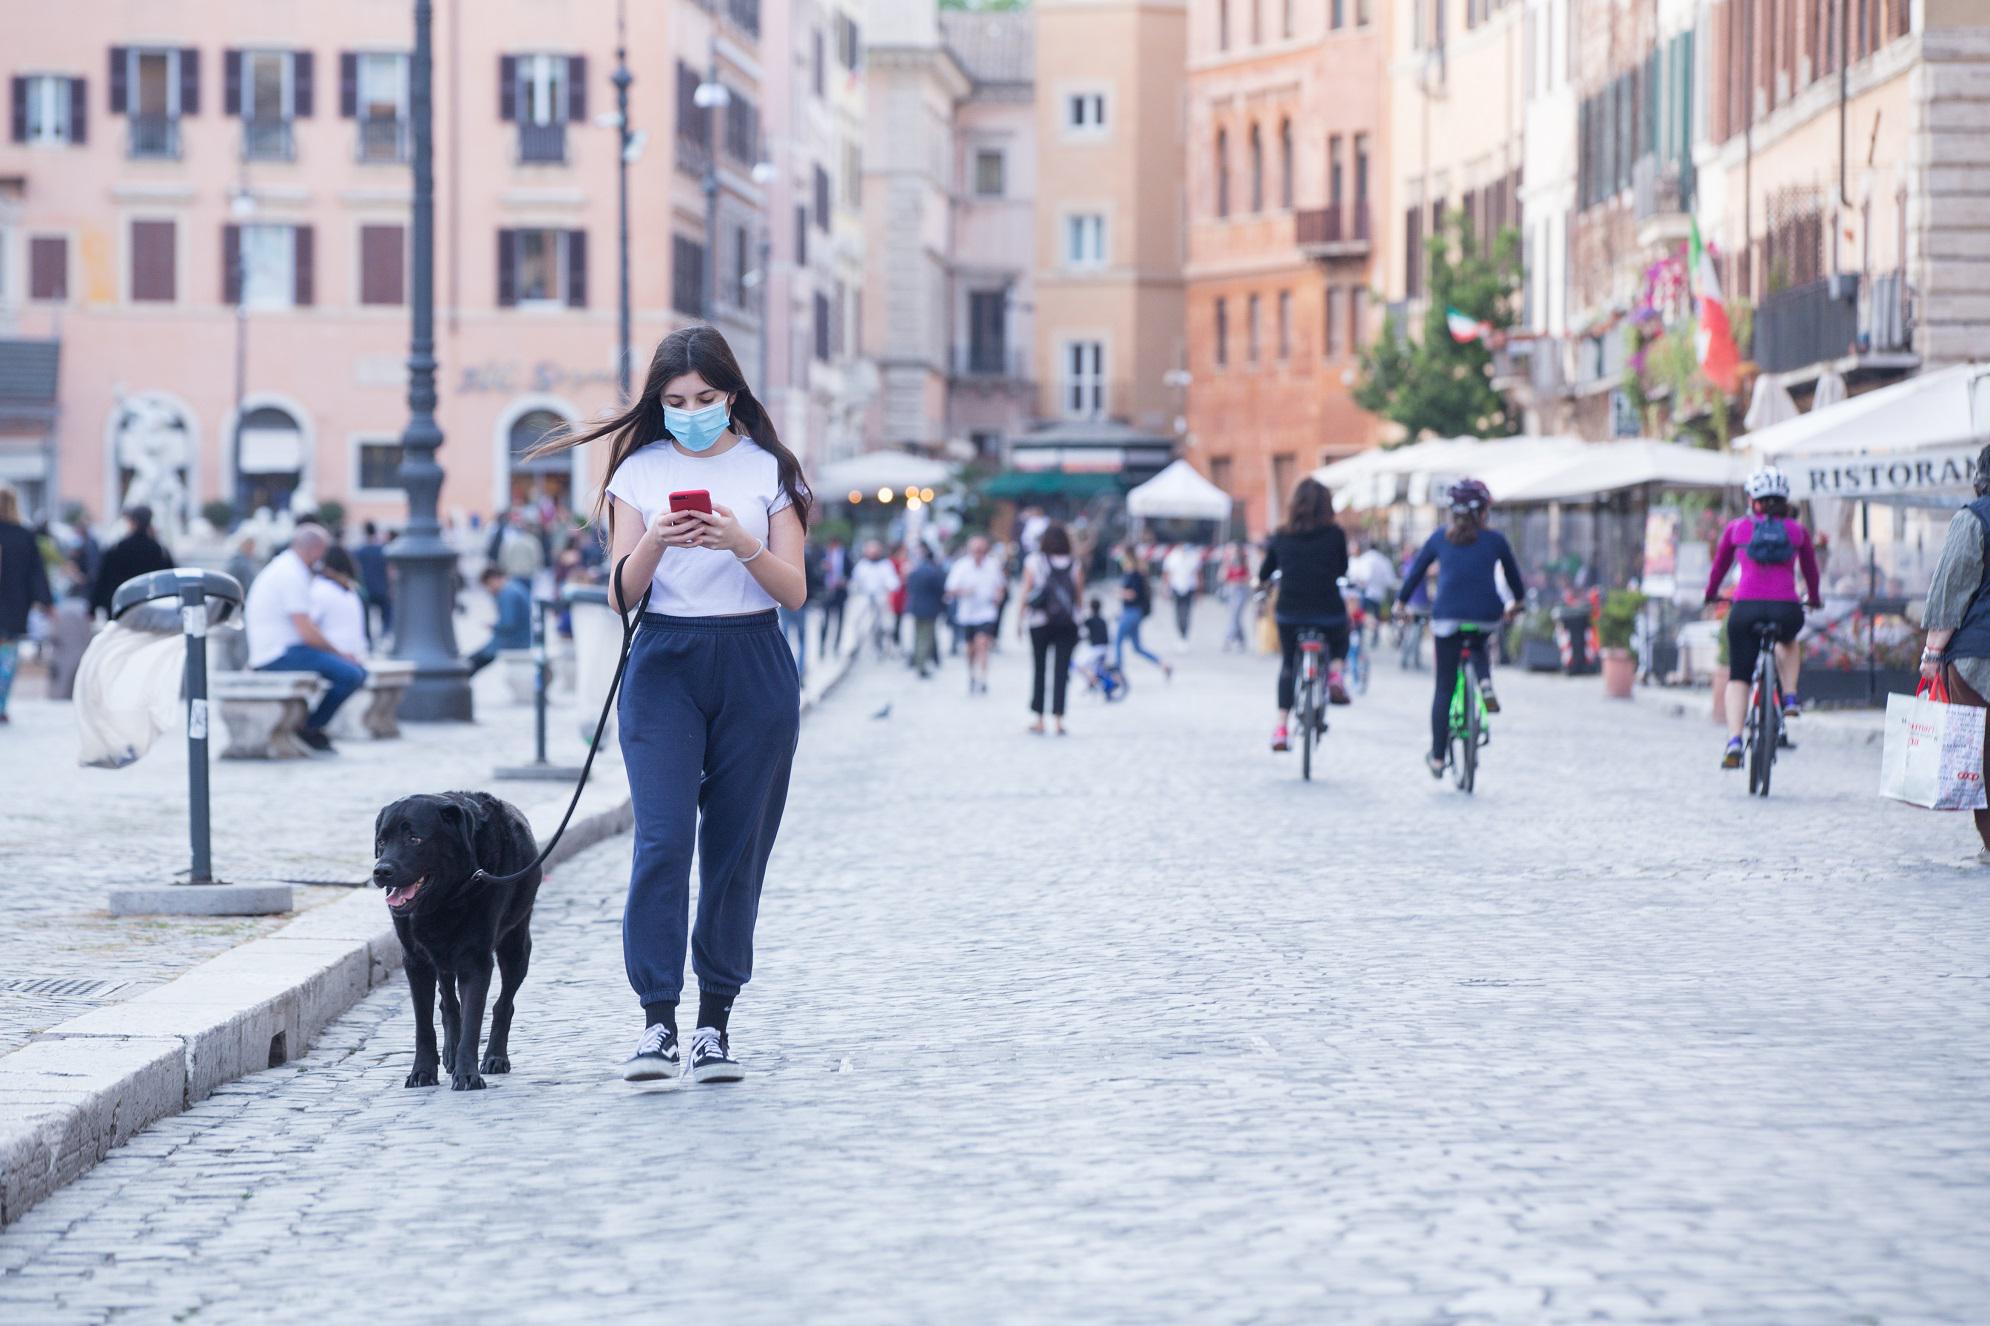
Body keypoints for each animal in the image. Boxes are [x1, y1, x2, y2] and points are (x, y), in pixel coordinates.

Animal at [370, 796, 541, 1083]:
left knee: (504, 1004)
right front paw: (422, 1071)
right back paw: (450, 1052)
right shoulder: (415, 961)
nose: (381, 871)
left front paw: (467, 1075)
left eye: (414, 838)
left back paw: (495, 1057)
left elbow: (473, 1020)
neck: (445, 899)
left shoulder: (476, 960)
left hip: (516, 947)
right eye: (382, 841)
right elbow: (424, 1024)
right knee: (448, 1003)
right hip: (443, 960)